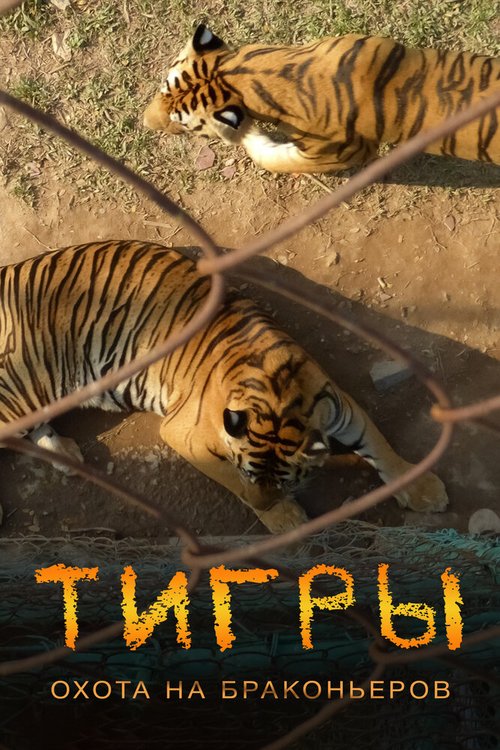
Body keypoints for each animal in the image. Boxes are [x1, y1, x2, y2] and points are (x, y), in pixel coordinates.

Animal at [0, 240, 447, 533]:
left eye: (289, 481)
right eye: (252, 476)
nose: (271, 502)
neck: (279, 395)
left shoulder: (341, 406)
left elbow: (381, 447)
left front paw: (422, 489)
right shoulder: (184, 433)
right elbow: (228, 478)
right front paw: (284, 519)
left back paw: (64, 453)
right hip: (23, 391)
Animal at [143, 24, 500, 174]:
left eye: (183, 125)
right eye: (163, 88)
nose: (143, 122)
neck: (241, 74)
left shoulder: (335, 155)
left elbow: (273, 159)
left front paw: (248, 137)